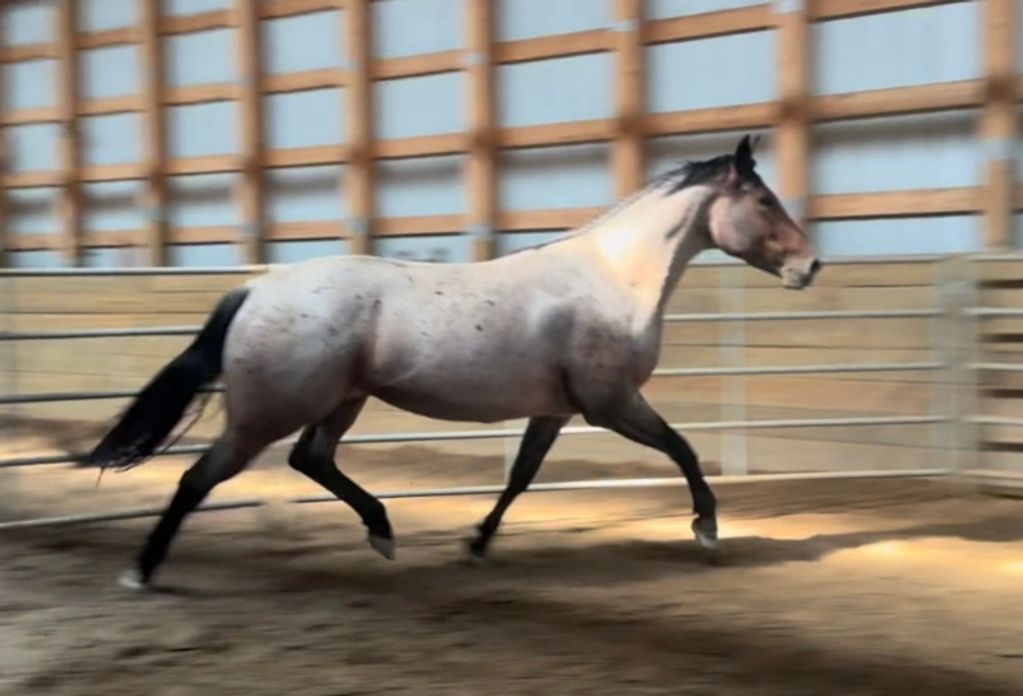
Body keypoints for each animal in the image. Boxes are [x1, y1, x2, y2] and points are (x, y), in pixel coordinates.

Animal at [88, 135, 819, 590]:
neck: (612, 278)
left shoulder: (556, 411)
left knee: (311, 459)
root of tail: (256, 289)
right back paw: (141, 573)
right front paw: (707, 529)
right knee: (199, 479)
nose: (809, 266)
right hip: (266, 415)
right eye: (763, 201)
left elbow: (521, 478)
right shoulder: (610, 404)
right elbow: (684, 449)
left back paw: (382, 533)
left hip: (340, 400)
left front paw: (475, 544)